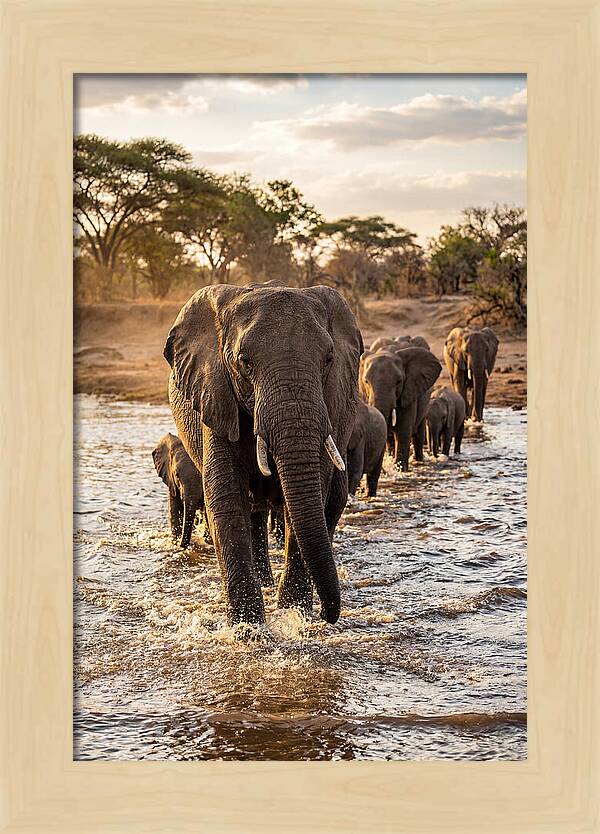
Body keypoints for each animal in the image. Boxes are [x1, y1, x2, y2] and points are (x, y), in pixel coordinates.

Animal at [164, 282, 363, 626]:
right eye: (244, 361)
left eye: (328, 359)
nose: (328, 615)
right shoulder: (216, 395)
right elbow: (226, 497)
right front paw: (248, 628)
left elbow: (311, 494)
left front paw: (294, 615)